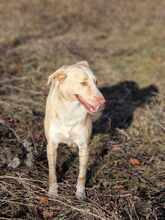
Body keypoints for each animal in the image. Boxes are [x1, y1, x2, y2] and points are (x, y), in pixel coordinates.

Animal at [44, 60, 105, 199]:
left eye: (96, 82)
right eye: (83, 83)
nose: (103, 102)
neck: (70, 110)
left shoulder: (84, 147)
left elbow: (82, 175)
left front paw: (80, 194)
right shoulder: (51, 146)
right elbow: (52, 173)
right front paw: (53, 192)